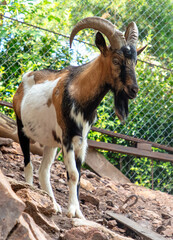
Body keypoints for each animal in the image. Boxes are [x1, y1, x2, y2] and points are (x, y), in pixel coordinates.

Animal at [12, 16, 146, 219]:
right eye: (116, 60)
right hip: (22, 128)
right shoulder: (67, 138)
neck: (78, 94)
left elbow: (79, 175)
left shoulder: (82, 140)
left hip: (51, 142)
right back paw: (31, 192)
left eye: (135, 62)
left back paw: (53, 204)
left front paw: (78, 212)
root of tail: (25, 80)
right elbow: (73, 174)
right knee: (29, 164)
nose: (133, 90)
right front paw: (72, 211)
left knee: (44, 171)